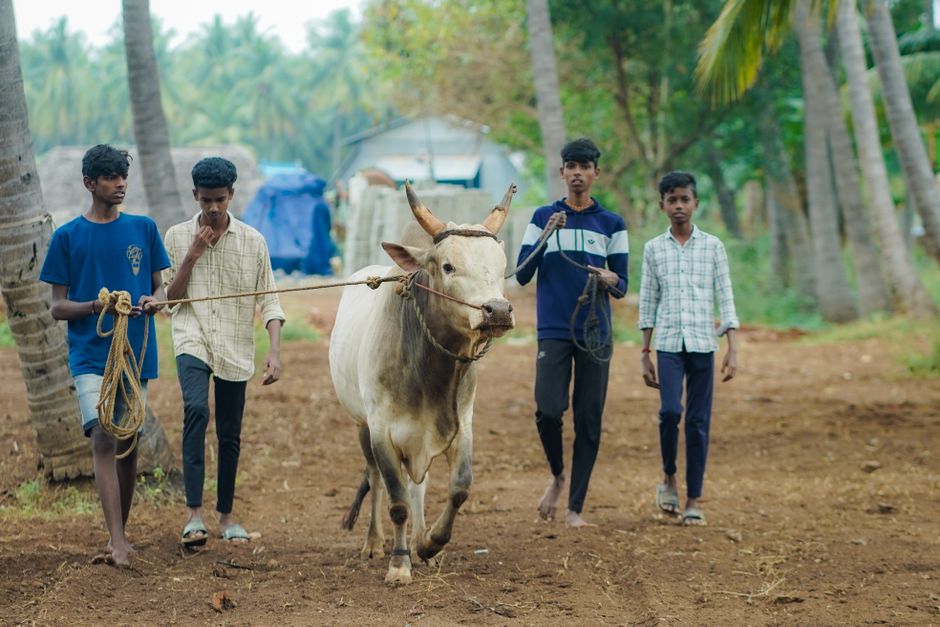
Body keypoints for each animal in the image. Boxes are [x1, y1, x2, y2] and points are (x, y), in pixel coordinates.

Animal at [329, 182, 516, 584]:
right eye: (448, 266)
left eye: (502, 267)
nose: (497, 311)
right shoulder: (382, 432)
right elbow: (396, 500)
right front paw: (399, 563)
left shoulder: (462, 426)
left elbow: (458, 489)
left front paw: (430, 544)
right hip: (360, 425)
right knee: (377, 480)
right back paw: (375, 542)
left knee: (419, 486)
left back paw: (419, 541)